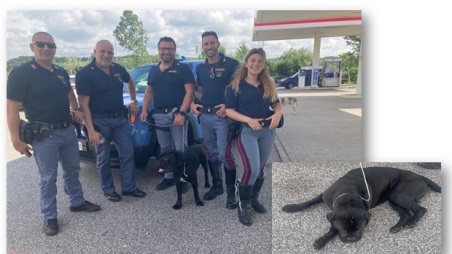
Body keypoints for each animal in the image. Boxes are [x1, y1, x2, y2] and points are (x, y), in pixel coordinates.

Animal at [282, 167, 442, 250]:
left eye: (360, 229)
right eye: (344, 230)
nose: (351, 239)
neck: (349, 194)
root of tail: (420, 176)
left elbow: (332, 229)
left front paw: (322, 240)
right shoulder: (324, 196)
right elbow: (309, 202)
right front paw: (291, 207)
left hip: (399, 195)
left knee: (420, 209)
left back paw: (412, 222)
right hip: (393, 199)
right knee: (405, 213)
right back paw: (398, 226)